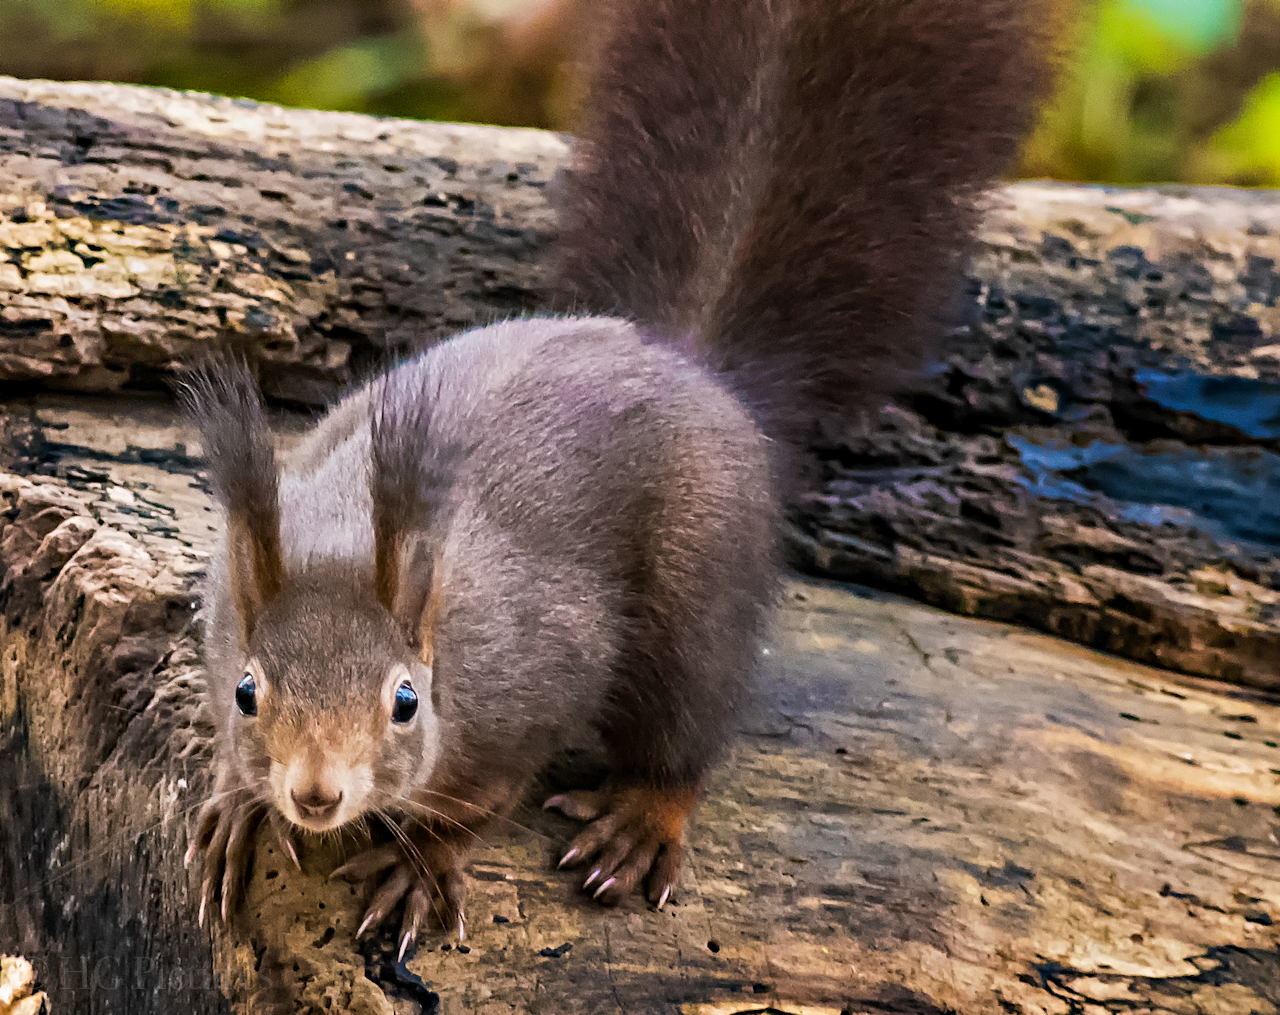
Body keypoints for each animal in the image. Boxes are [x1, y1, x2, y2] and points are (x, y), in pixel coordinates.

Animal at [180, 0, 1059, 957]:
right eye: (247, 691)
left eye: (406, 702)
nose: (315, 794)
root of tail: (687, 365)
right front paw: (233, 801)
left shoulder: (537, 677)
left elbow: (485, 800)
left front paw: (423, 863)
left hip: (699, 588)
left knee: (687, 728)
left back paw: (641, 819)